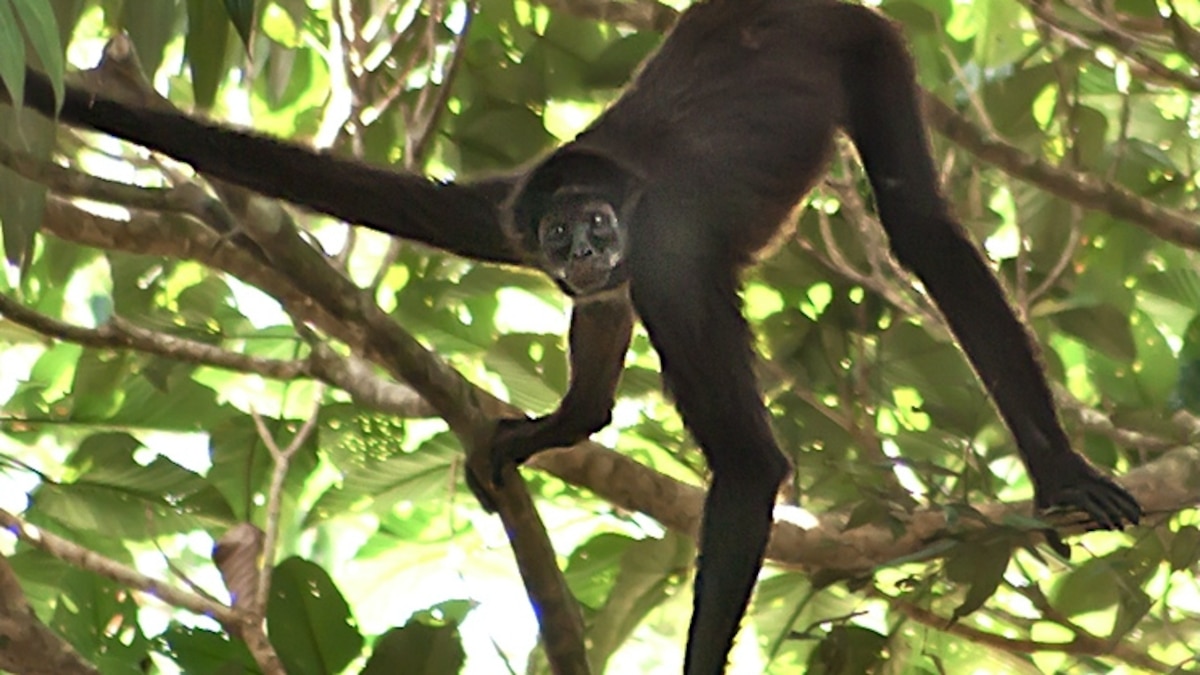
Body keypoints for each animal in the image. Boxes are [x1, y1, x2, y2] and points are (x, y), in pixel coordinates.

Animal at [5, 0, 1142, 672]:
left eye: (596, 222)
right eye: (559, 234)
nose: (587, 249)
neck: (611, 199)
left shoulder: (668, 259)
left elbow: (750, 465)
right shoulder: (505, 214)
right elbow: (337, 184)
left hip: (869, 48)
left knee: (919, 230)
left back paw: (1057, 468)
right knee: (609, 320)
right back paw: (569, 417)